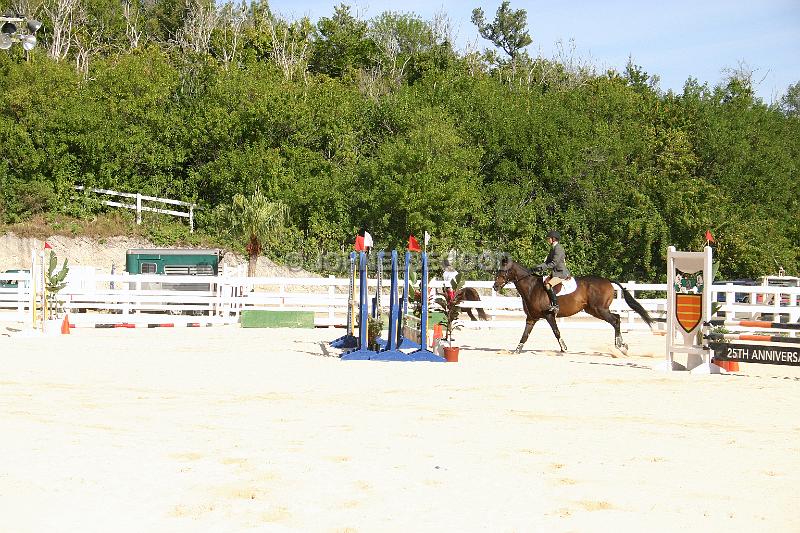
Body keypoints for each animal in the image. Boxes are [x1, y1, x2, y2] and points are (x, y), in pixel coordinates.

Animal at [490, 256, 652, 354]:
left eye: (503, 271)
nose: (495, 287)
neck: (531, 288)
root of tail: (607, 280)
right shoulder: (531, 318)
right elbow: (525, 335)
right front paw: (517, 350)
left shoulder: (549, 315)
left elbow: (556, 332)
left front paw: (564, 348)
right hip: (594, 310)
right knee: (617, 318)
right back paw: (622, 345)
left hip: (599, 309)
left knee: (616, 320)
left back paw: (620, 346)